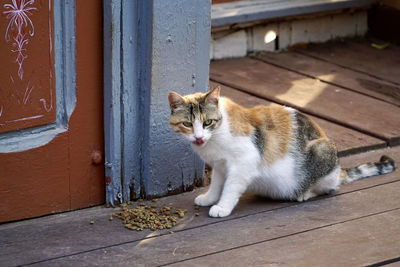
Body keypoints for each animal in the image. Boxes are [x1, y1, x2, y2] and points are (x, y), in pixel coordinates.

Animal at [166, 87, 396, 219]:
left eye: (207, 122)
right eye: (187, 124)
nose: (198, 137)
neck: (215, 137)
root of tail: (339, 170)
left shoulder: (244, 161)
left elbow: (231, 187)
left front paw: (222, 207)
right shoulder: (220, 165)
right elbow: (216, 183)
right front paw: (209, 198)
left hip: (323, 150)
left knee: (328, 187)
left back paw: (303, 194)